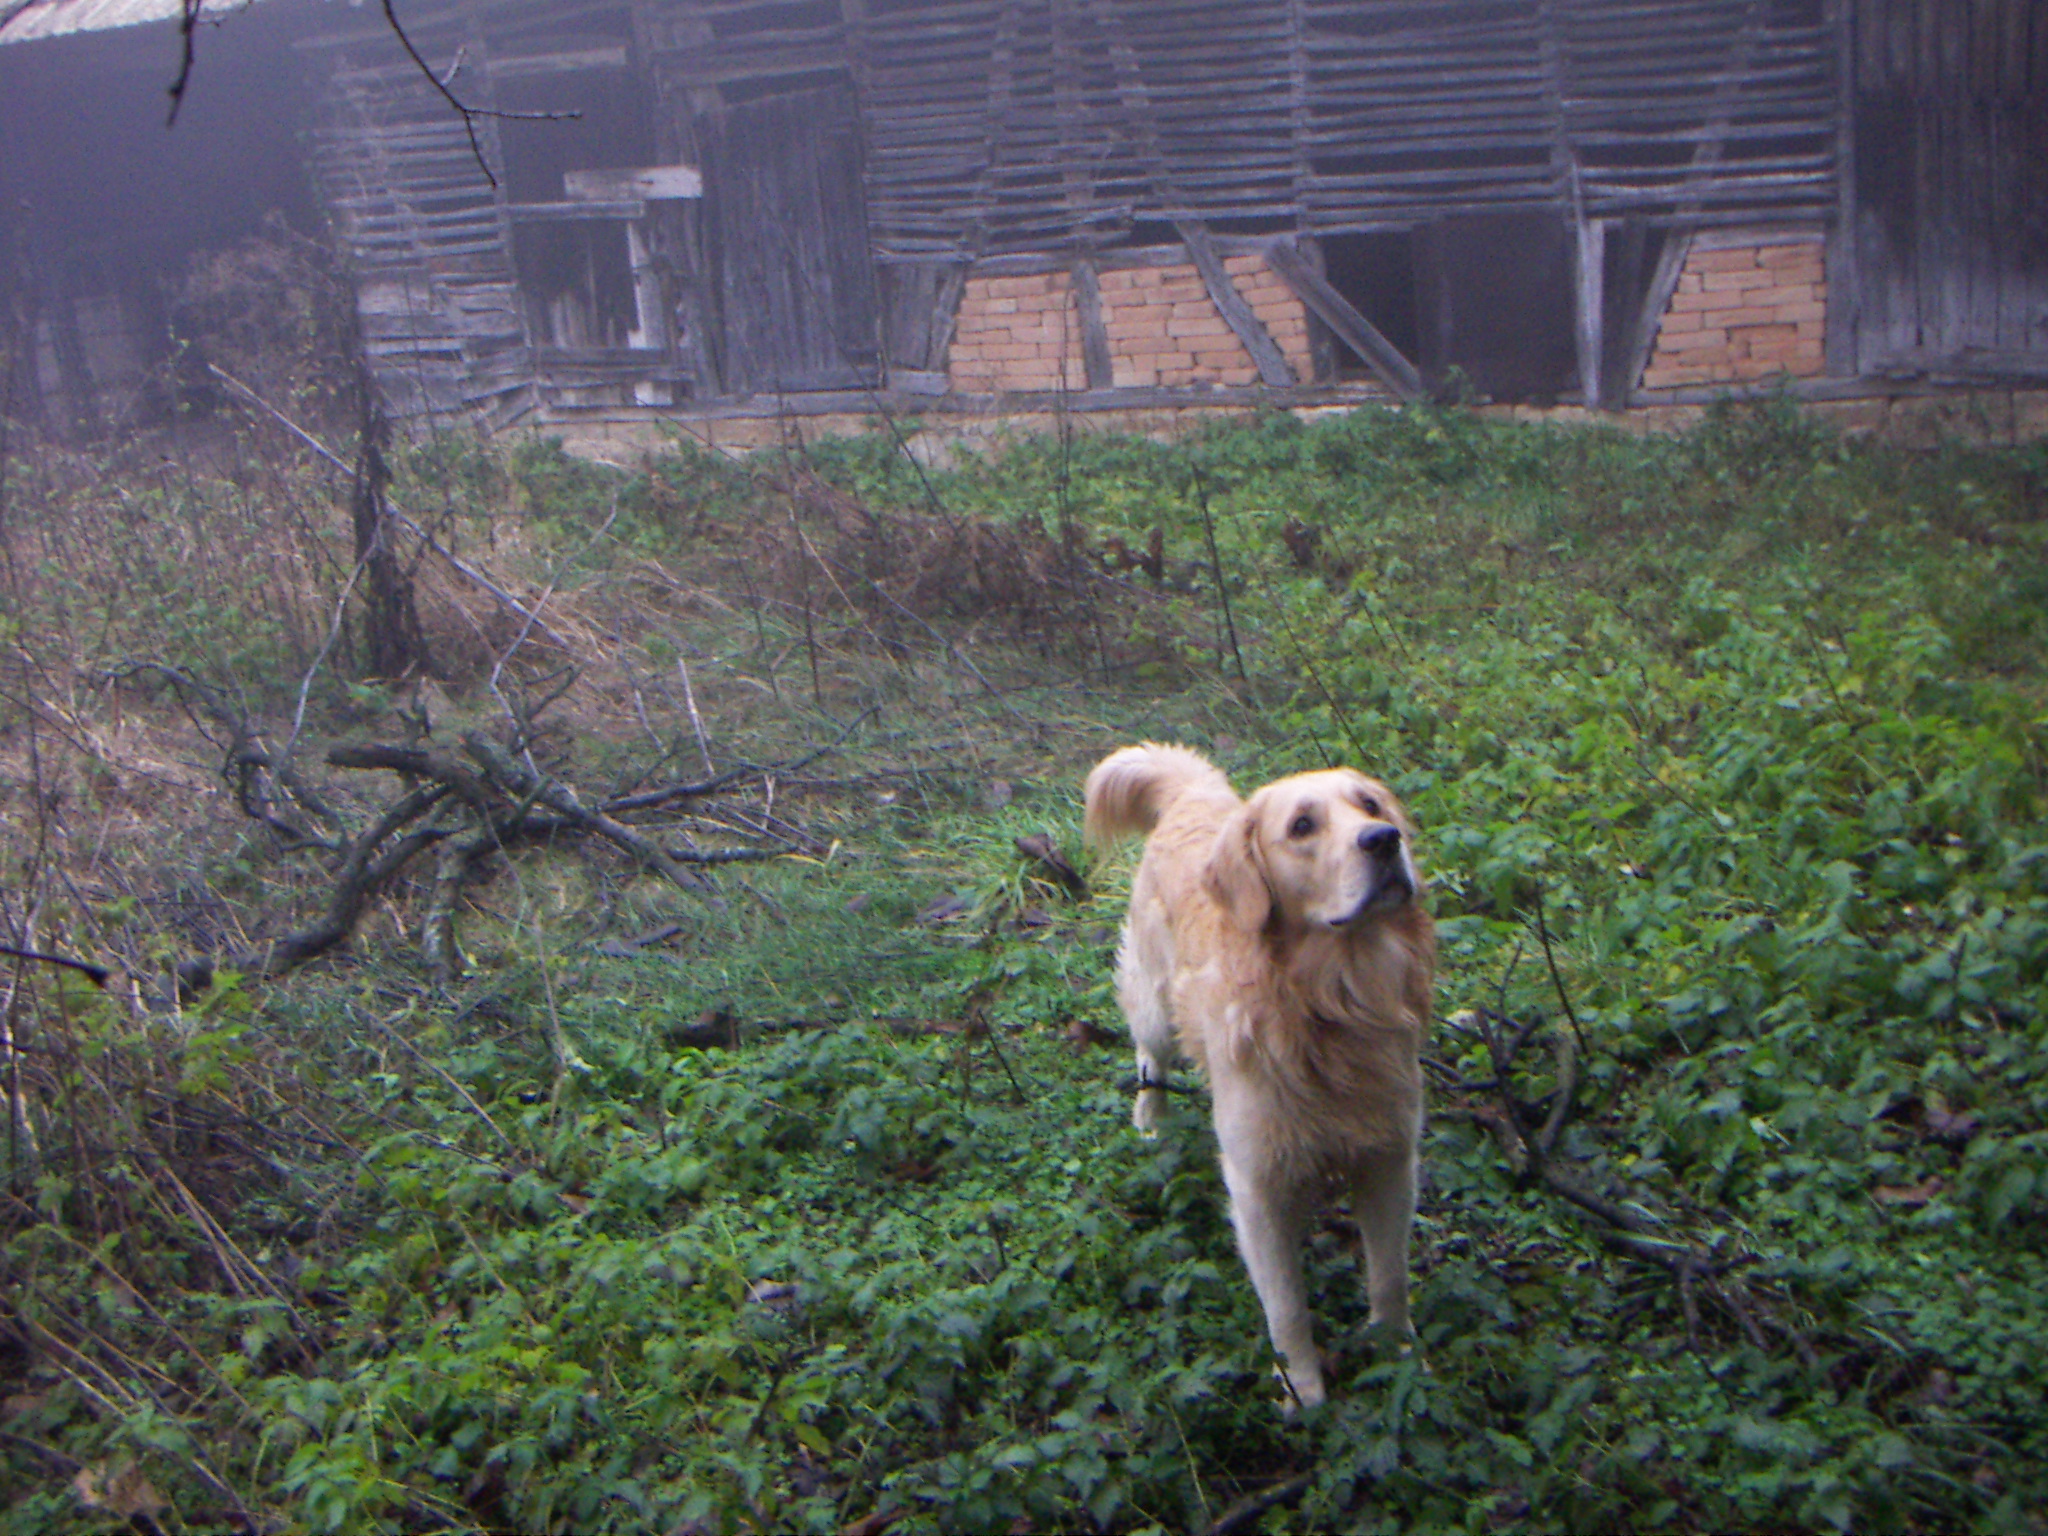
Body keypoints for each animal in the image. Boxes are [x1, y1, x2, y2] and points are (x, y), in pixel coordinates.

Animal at [1083, 743, 1434, 1408]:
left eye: (1370, 805)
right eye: (1302, 826)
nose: (1385, 840)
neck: (1330, 1004)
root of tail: (1194, 793)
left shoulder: (1389, 1161)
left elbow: (1392, 1275)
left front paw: (1399, 1355)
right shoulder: (1257, 1188)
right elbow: (1287, 1306)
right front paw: (1304, 1393)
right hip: (1155, 1003)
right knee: (1150, 1060)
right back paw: (1152, 1122)